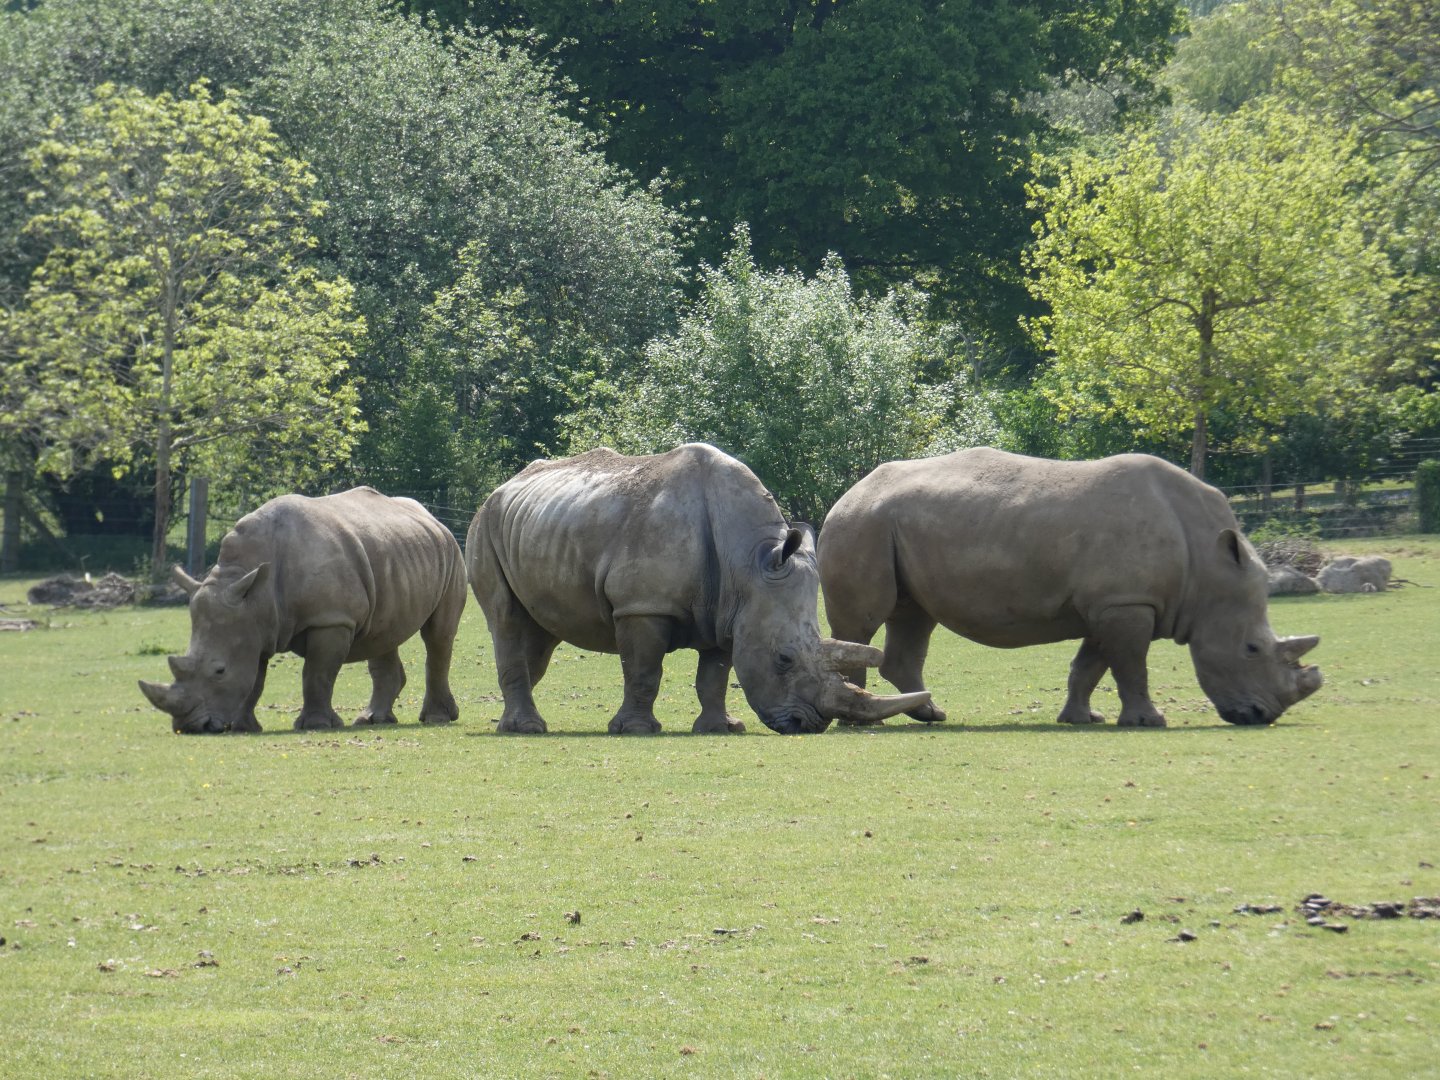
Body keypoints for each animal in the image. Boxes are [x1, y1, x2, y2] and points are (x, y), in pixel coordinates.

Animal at [139, 487, 467, 734]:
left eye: (219, 671)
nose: (190, 726)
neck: (251, 587)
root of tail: (432, 518)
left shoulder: (331, 620)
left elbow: (317, 673)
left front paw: (316, 725)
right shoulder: (253, 624)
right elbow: (255, 678)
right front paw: (245, 727)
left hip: (451, 554)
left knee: (438, 636)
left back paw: (435, 719)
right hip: (395, 555)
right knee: (384, 634)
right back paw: (372, 720)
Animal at [465, 444, 929, 735]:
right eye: (783, 659)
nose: (808, 725)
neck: (749, 562)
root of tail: (502, 487)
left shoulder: (729, 610)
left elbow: (715, 675)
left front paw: (722, 728)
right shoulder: (643, 606)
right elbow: (644, 670)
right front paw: (637, 730)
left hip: (539, 524)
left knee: (540, 633)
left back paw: (519, 721)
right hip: (484, 524)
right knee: (506, 620)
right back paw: (526, 728)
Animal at [819, 449, 1323, 728]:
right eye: (1252, 649)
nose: (1262, 716)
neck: (1207, 565)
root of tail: (849, 491)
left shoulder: (1111, 603)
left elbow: (1092, 664)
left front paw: (1084, 719)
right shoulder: (1127, 602)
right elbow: (1131, 666)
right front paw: (1149, 722)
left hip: (888, 525)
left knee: (913, 616)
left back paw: (931, 715)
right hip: (861, 523)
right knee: (863, 625)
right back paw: (857, 720)